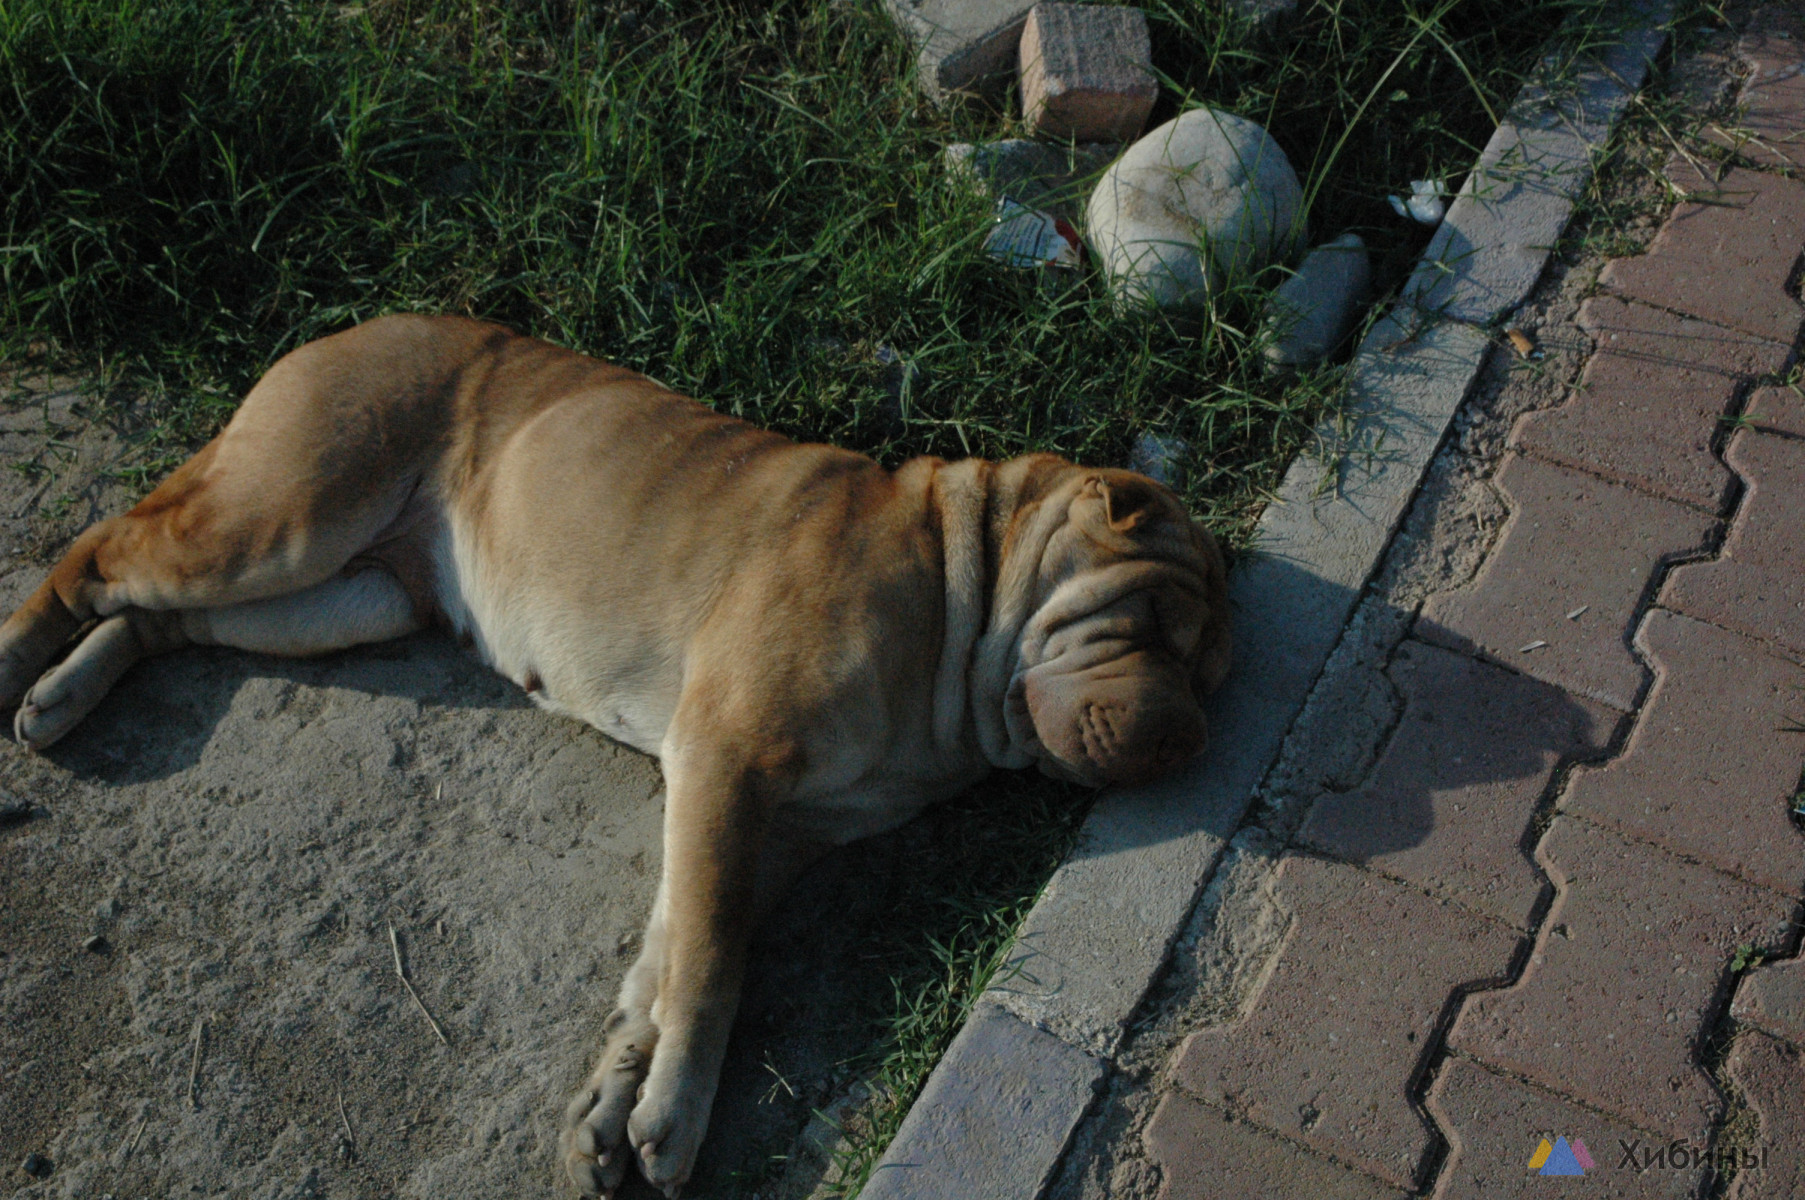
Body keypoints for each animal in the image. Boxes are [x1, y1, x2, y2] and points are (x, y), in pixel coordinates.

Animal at [0, 313, 1227, 1190]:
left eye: (1212, 669)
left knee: (161, 620)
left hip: (341, 596)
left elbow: (669, 959)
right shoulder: (728, 764)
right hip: (285, 515)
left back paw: (65, 694)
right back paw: (20, 655)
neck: (954, 600)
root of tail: (353, 324)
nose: (1190, 735)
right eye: (1156, 625)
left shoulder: (763, 828)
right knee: (99, 553)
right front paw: (677, 1117)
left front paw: (612, 1108)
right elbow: (711, 967)